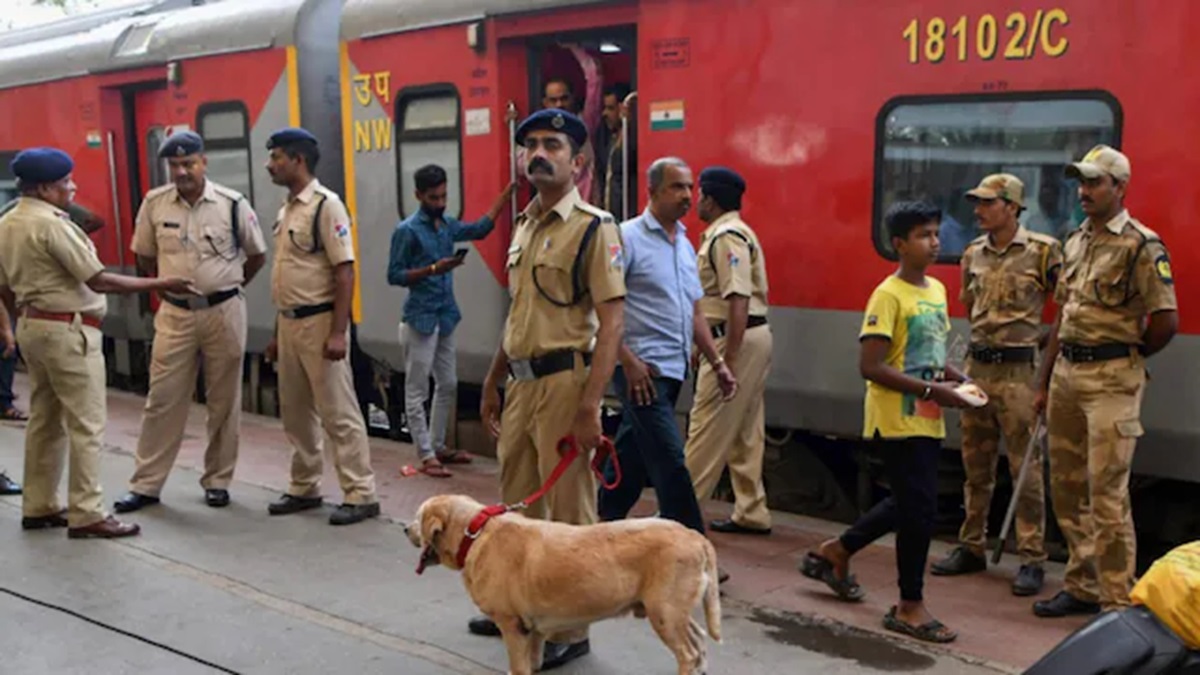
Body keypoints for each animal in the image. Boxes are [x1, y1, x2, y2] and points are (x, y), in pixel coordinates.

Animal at [403, 492, 720, 667]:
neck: (475, 532)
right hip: (672, 610)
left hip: (664, 612)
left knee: (688, 653)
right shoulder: (534, 631)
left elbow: (517, 666)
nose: (406, 529)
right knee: (700, 641)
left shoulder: (512, 625)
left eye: (418, 518)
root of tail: (695, 536)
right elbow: (531, 664)